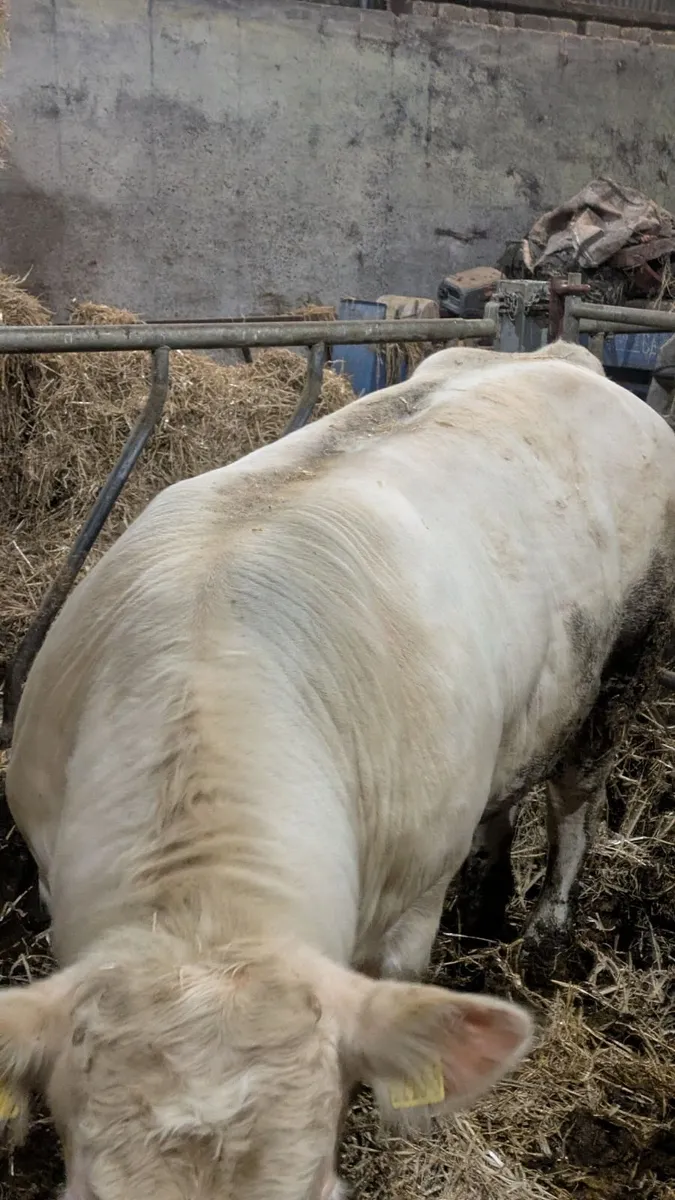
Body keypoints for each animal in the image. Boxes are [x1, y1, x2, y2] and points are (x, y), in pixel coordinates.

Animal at [2, 339, 675, 1200]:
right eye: (82, 1194)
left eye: (322, 1190)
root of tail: (560, 353)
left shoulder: (413, 899)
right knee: (503, 797)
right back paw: (487, 900)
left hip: (619, 672)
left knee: (572, 805)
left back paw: (542, 933)